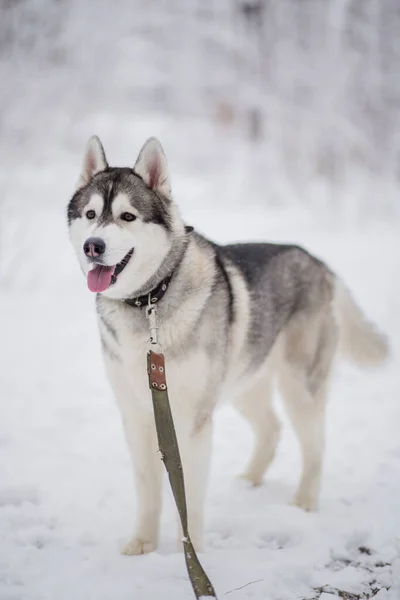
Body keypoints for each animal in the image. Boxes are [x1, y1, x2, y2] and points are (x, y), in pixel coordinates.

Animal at [67, 135, 390, 552]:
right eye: (91, 214)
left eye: (127, 217)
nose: (93, 246)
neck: (151, 300)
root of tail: (318, 263)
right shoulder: (137, 415)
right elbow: (147, 489)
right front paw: (142, 545)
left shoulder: (192, 422)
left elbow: (189, 495)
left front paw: (192, 548)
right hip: (244, 382)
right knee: (271, 428)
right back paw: (250, 480)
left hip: (298, 386)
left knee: (315, 445)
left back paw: (304, 501)